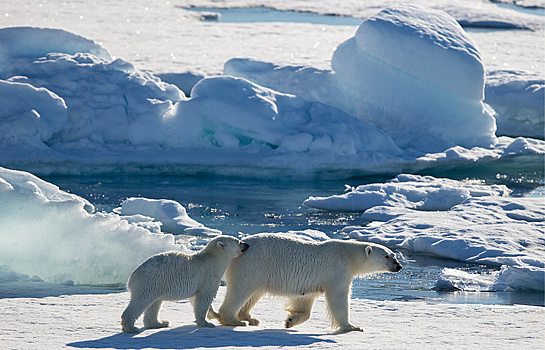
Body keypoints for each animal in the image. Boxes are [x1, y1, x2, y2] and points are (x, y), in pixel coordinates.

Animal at [210, 234, 402, 332]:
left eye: (394, 255)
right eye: (387, 256)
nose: (399, 266)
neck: (348, 255)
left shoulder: (311, 282)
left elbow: (305, 300)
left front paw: (291, 320)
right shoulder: (337, 270)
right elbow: (338, 297)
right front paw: (352, 326)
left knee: (255, 292)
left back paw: (250, 318)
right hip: (252, 265)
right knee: (241, 289)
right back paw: (233, 320)